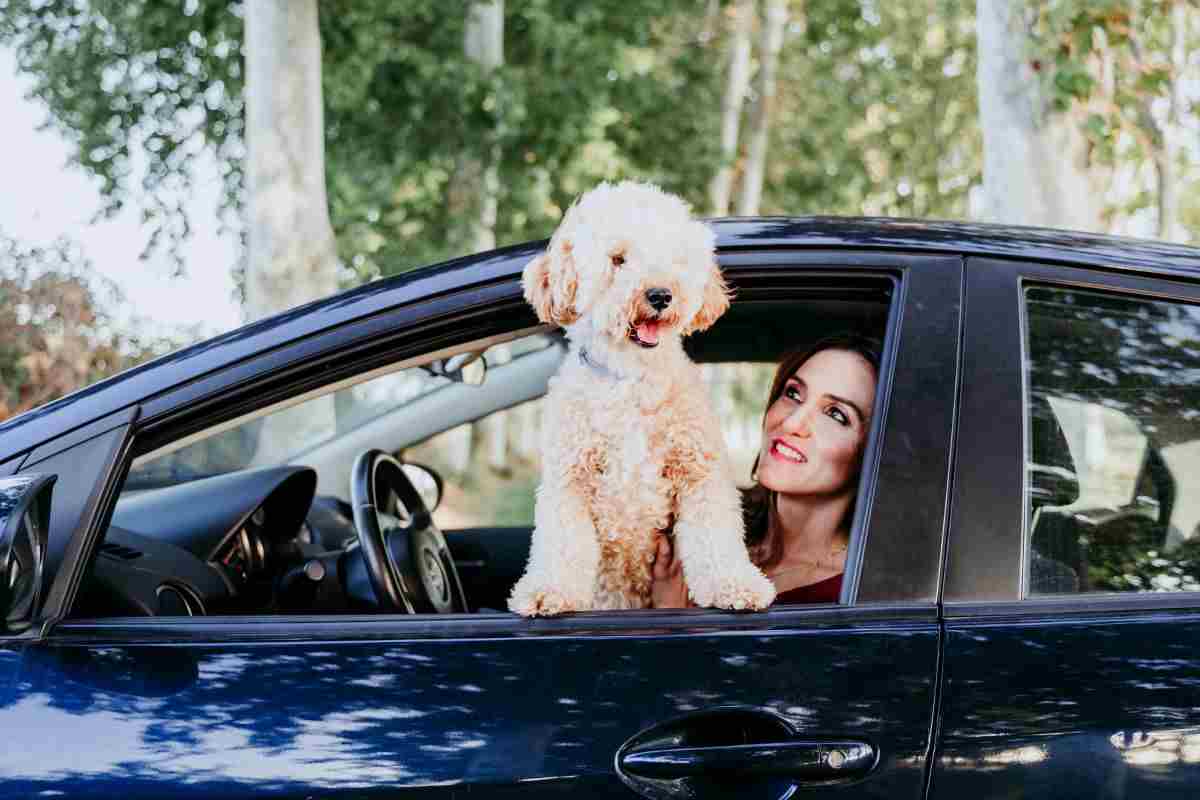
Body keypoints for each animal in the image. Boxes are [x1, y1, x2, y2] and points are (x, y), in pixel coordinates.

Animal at [506, 183, 777, 618]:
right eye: (618, 259)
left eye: (674, 259)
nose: (660, 295)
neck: (631, 377)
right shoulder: (569, 480)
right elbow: (562, 543)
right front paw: (550, 591)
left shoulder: (699, 472)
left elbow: (715, 534)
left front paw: (735, 585)